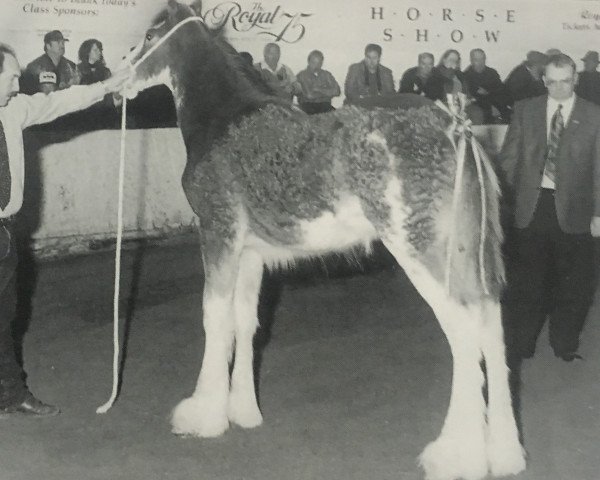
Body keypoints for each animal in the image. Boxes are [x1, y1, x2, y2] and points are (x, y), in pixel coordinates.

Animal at [120, 1, 524, 478]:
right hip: (462, 250)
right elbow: (244, 323)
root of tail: (455, 127)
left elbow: (214, 319)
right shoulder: (250, 252)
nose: (121, 79)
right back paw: (504, 453)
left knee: (463, 332)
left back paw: (456, 455)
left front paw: (203, 415)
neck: (226, 120)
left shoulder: (217, 234)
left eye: (149, 36)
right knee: (490, 323)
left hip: (420, 248)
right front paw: (242, 410)